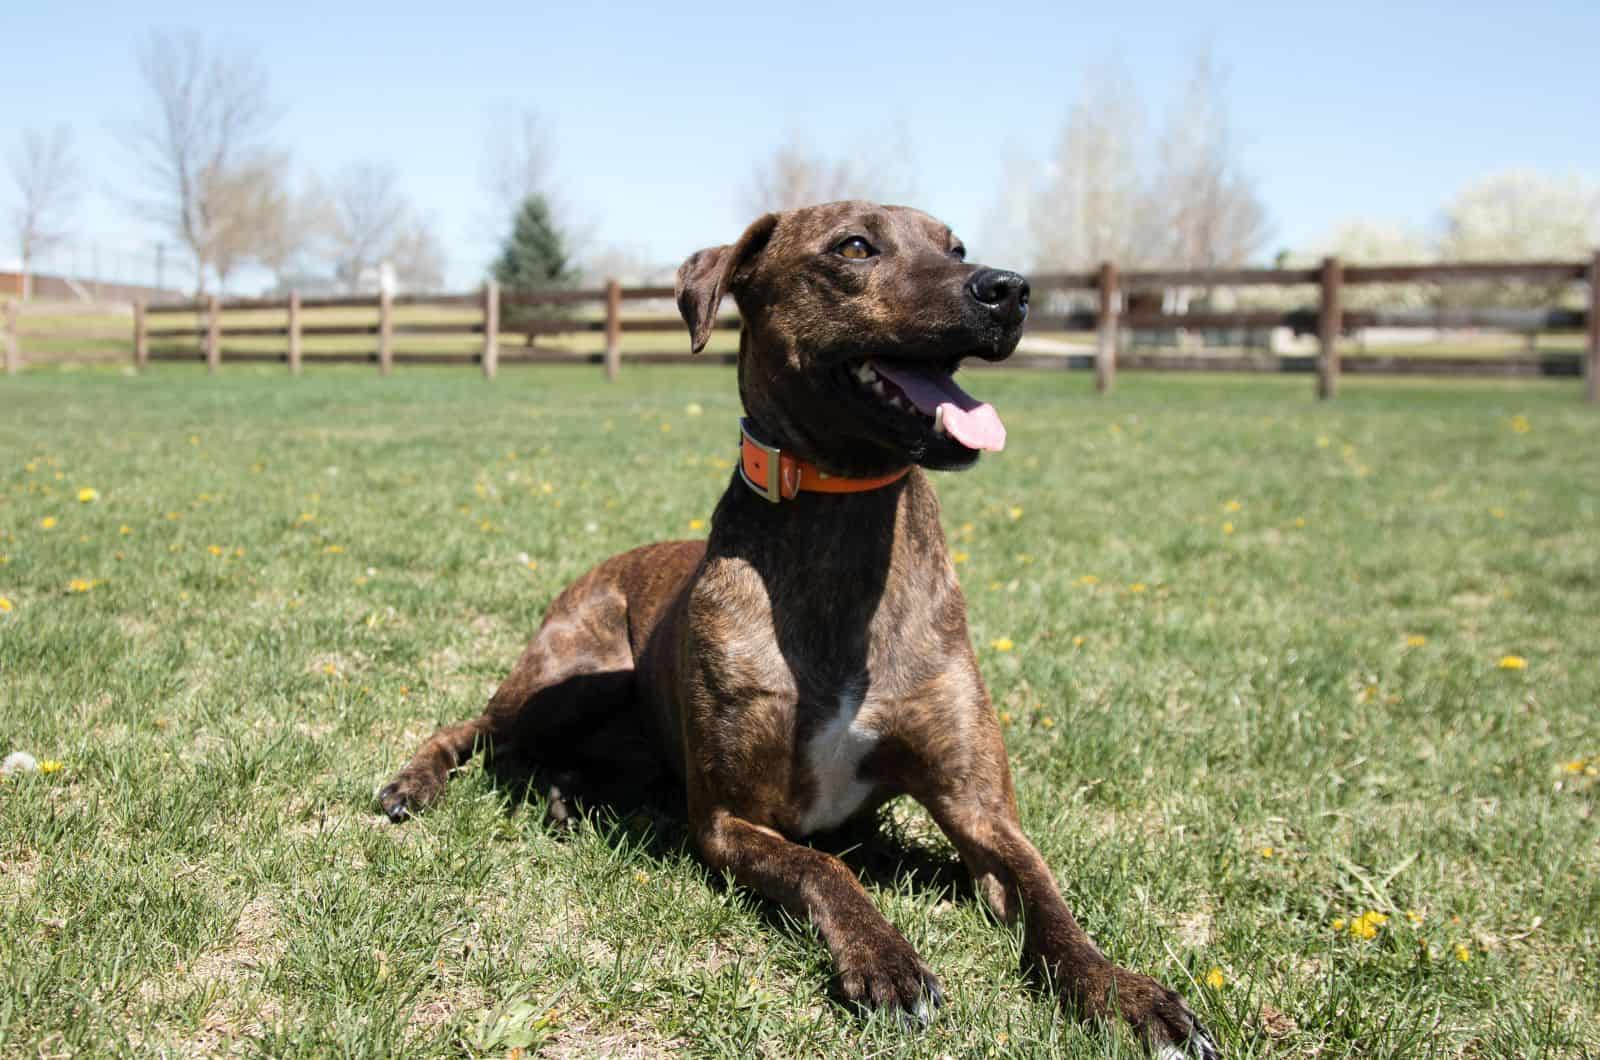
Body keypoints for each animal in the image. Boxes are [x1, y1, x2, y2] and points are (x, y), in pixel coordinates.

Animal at [380, 201, 1216, 1060]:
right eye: (854, 246)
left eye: (956, 246)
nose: (1009, 289)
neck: (846, 519)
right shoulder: (728, 820)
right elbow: (825, 870)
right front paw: (886, 960)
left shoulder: (979, 808)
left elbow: (1046, 894)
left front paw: (1121, 989)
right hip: (564, 679)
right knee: (474, 727)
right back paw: (416, 784)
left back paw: (571, 799)